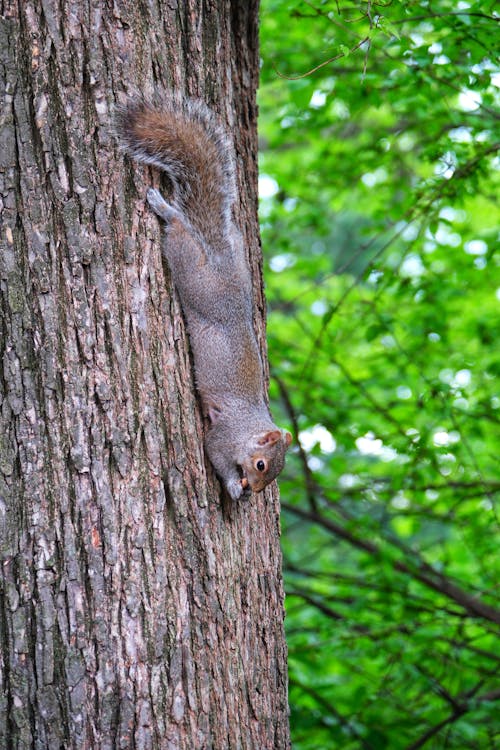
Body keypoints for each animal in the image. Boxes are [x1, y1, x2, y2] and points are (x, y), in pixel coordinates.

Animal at [116, 97, 292, 502]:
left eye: (272, 473)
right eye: (262, 465)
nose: (254, 489)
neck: (248, 428)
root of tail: (219, 258)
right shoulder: (222, 437)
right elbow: (215, 455)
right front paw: (232, 488)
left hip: (235, 258)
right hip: (194, 276)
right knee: (180, 232)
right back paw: (164, 208)